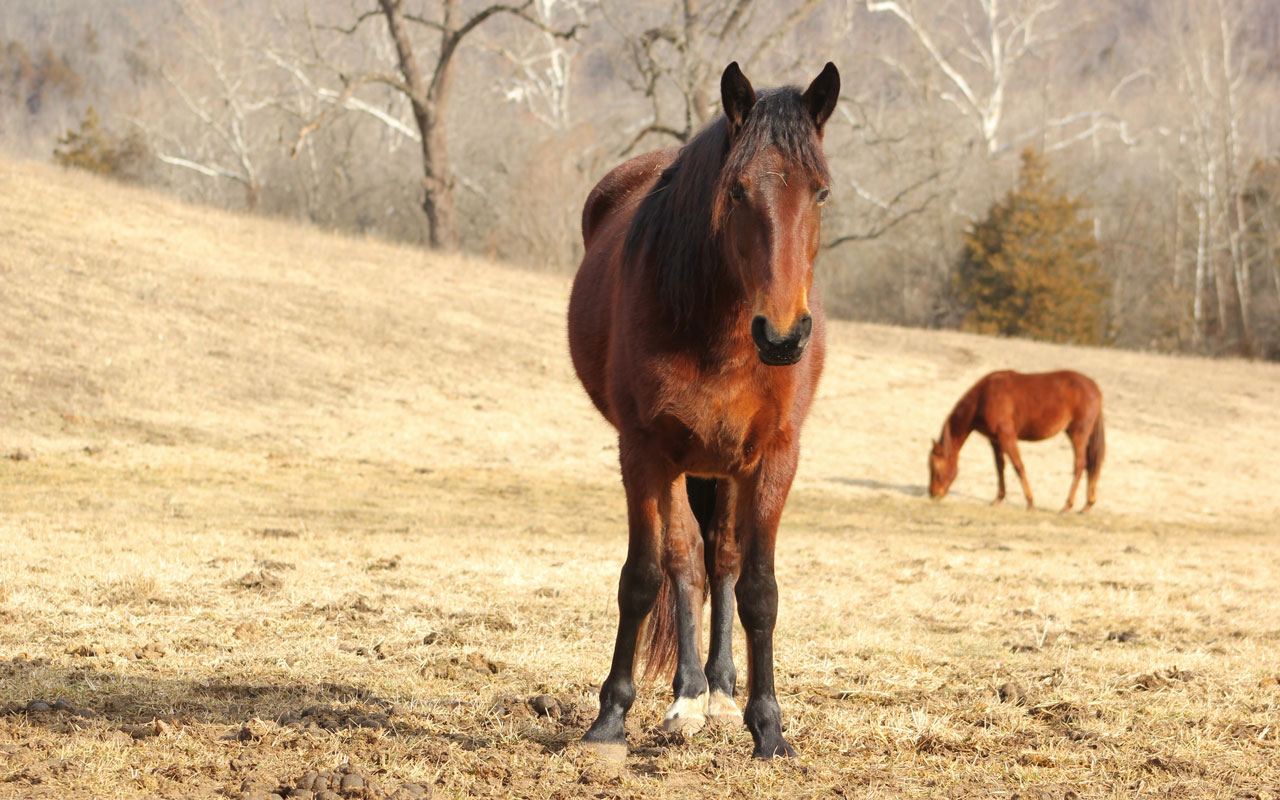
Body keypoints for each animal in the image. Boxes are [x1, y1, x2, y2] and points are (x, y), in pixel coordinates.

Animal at [566, 62, 839, 760]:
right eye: (737, 192)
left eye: (821, 193)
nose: (783, 336)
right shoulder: (643, 451)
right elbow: (643, 576)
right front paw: (609, 719)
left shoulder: (774, 457)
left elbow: (759, 590)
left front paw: (769, 727)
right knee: (687, 561)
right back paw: (690, 693)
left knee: (720, 561)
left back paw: (718, 689)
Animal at [928, 370, 1105, 512]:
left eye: (935, 468)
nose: (933, 493)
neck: (983, 398)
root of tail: (1095, 388)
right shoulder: (996, 441)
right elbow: (1000, 467)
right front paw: (998, 499)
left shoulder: (1007, 437)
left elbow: (1018, 466)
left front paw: (1030, 502)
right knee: (1090, 466)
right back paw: (1087, 505)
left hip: (1078, 434)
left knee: (1080, 465)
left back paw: (1068, 506)